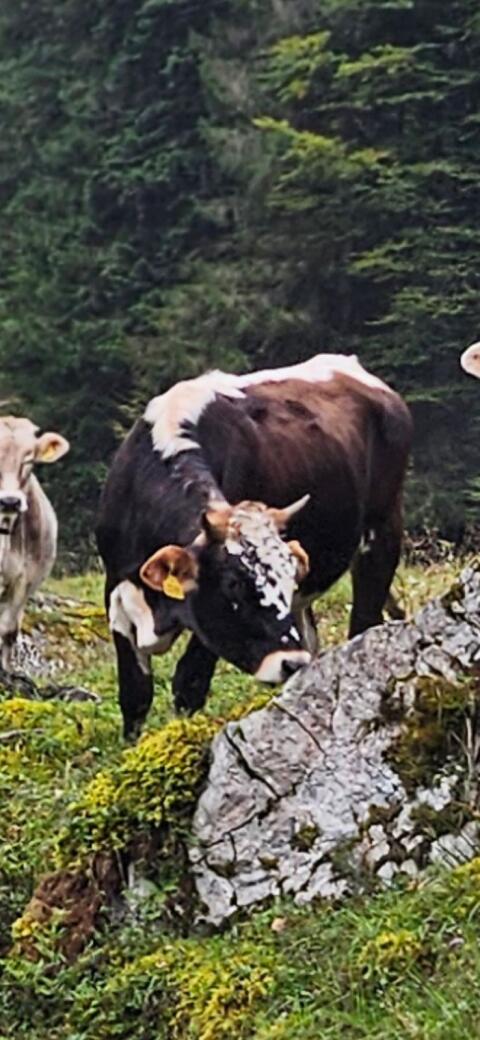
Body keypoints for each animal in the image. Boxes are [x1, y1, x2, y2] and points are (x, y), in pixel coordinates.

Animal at [96, 354, 412, 739]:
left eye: (289, 577)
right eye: (233, 583)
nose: (291, 663)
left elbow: (189, 683)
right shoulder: (116, 589)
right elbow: (135, 695)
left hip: (383, 531)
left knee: (364, 623)